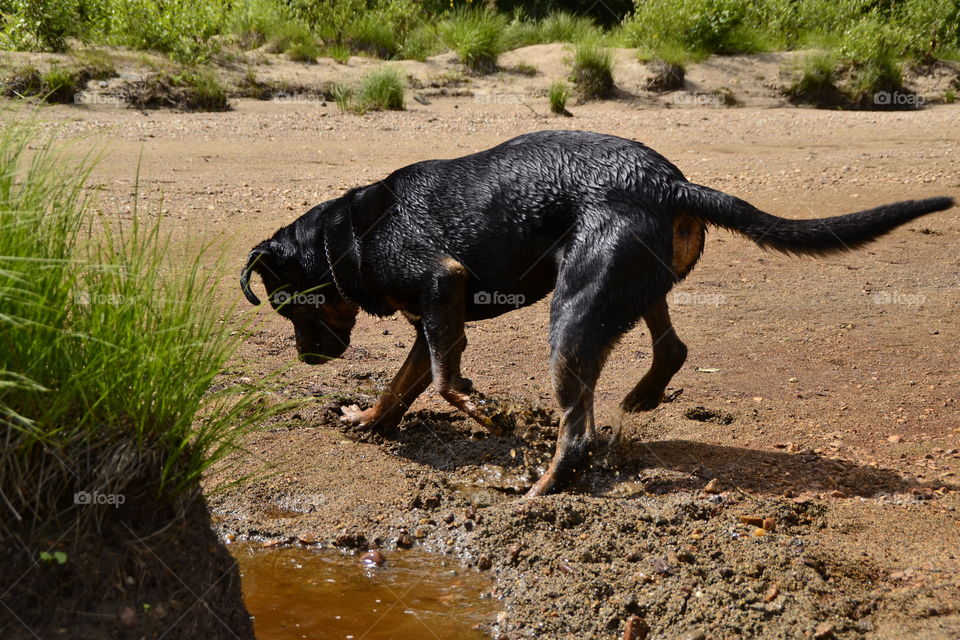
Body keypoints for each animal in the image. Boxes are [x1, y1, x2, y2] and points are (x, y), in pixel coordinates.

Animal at [242, 130, 952, 498]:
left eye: (287, 308)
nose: (307, 357)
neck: (347, 239)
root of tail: (670, 184)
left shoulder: (443, 286)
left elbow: (443, 382)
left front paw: (486, 413)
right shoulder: (432, 319)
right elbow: (402, 387)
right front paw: (366, 420)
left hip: (572, 316)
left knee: (577, 432)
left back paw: (540, 492)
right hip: (627, 289)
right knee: (670, 348)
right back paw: (642, 398)